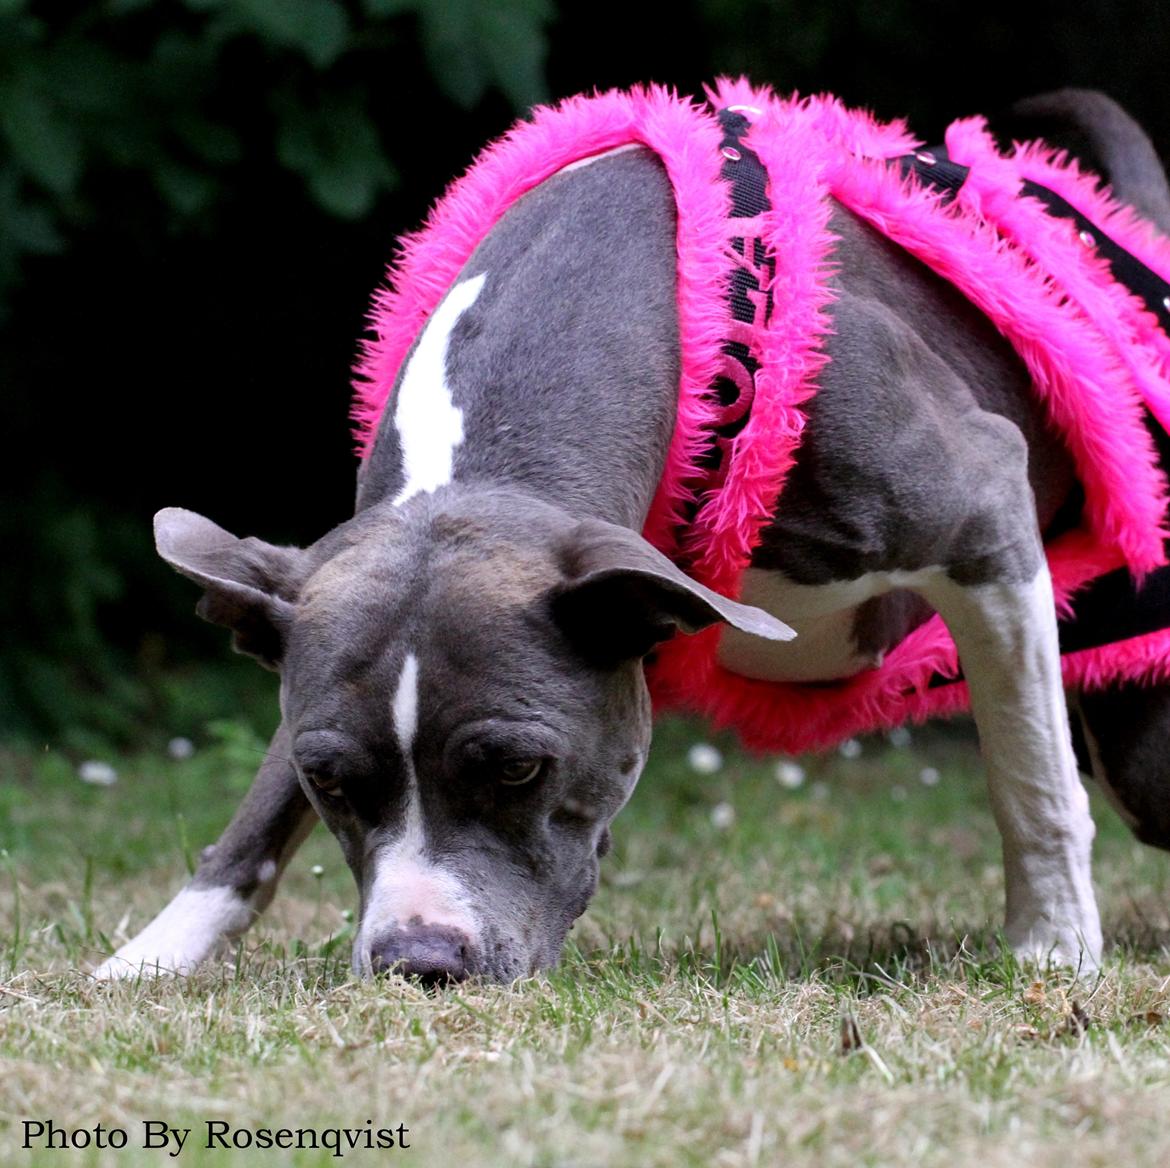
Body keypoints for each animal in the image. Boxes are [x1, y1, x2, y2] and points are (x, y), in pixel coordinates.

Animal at [95, 88, 1170, 987]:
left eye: (518, 767)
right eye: (329, 780)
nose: (417, 962)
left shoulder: (983, 512)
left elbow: (1029, 775)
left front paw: (1052, 945)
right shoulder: (319, 603)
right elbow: (258, 805)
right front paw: (155, 955)